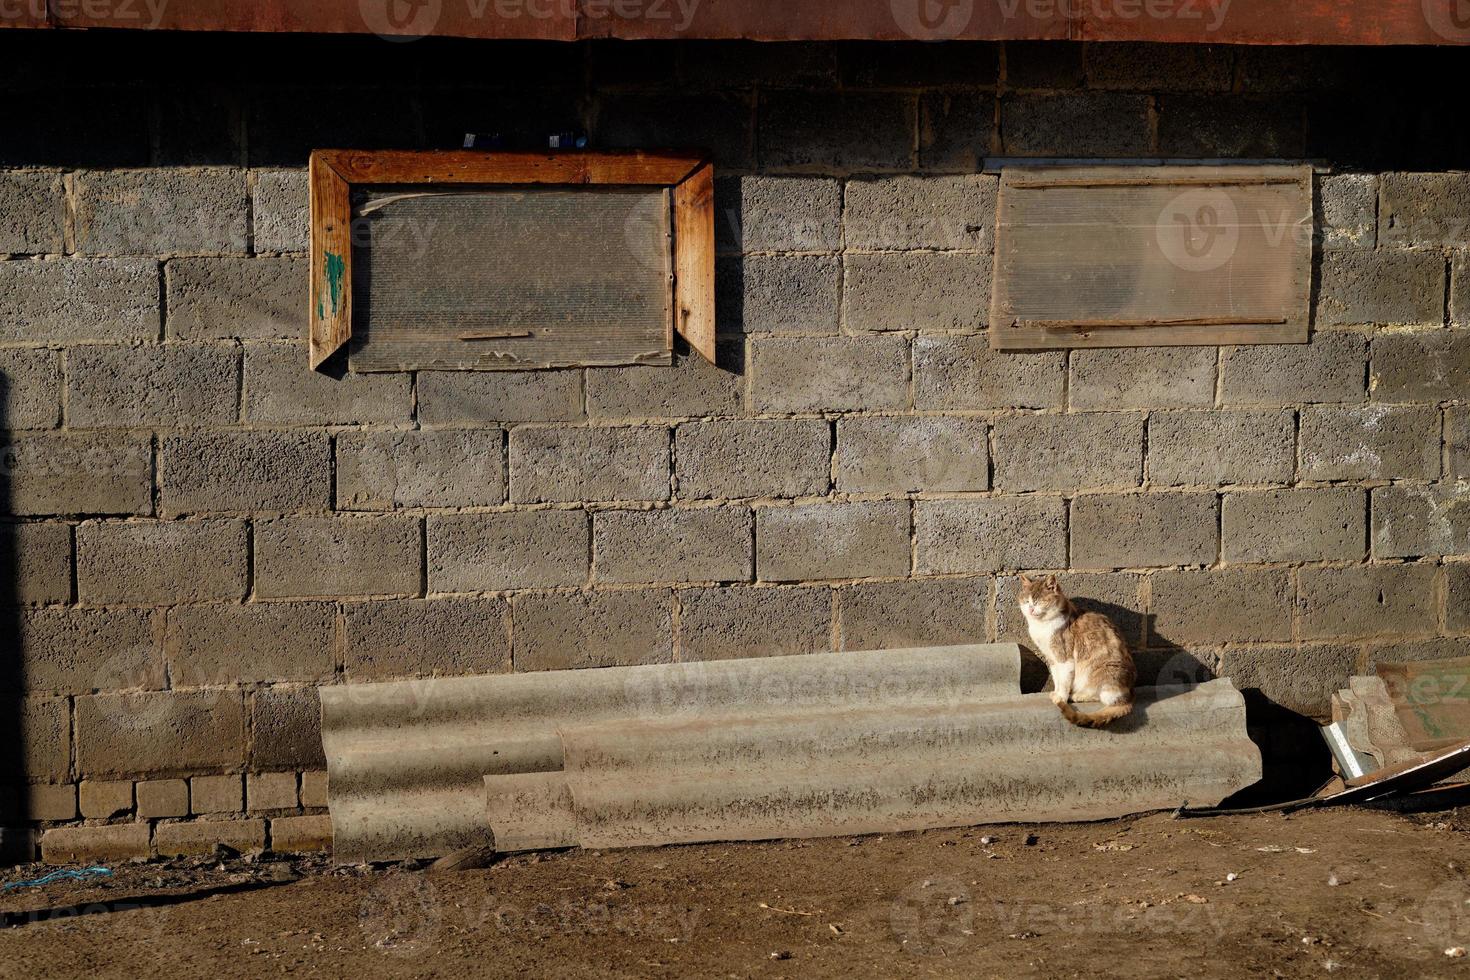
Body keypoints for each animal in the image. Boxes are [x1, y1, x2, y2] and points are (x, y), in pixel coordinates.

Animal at [1023, 575, 1134, 728]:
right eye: (1027, 601)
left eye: (1039, 601)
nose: (1031, 609)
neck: (1042, 625)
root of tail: (1128, 697)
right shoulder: (1052, 658)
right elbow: (1056, 678)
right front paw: (1056, 693)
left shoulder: (1064, 658)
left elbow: (1063, 681)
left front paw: (1061, 698)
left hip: (1101, 670)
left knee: (1102, 696)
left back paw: (1077, 696)